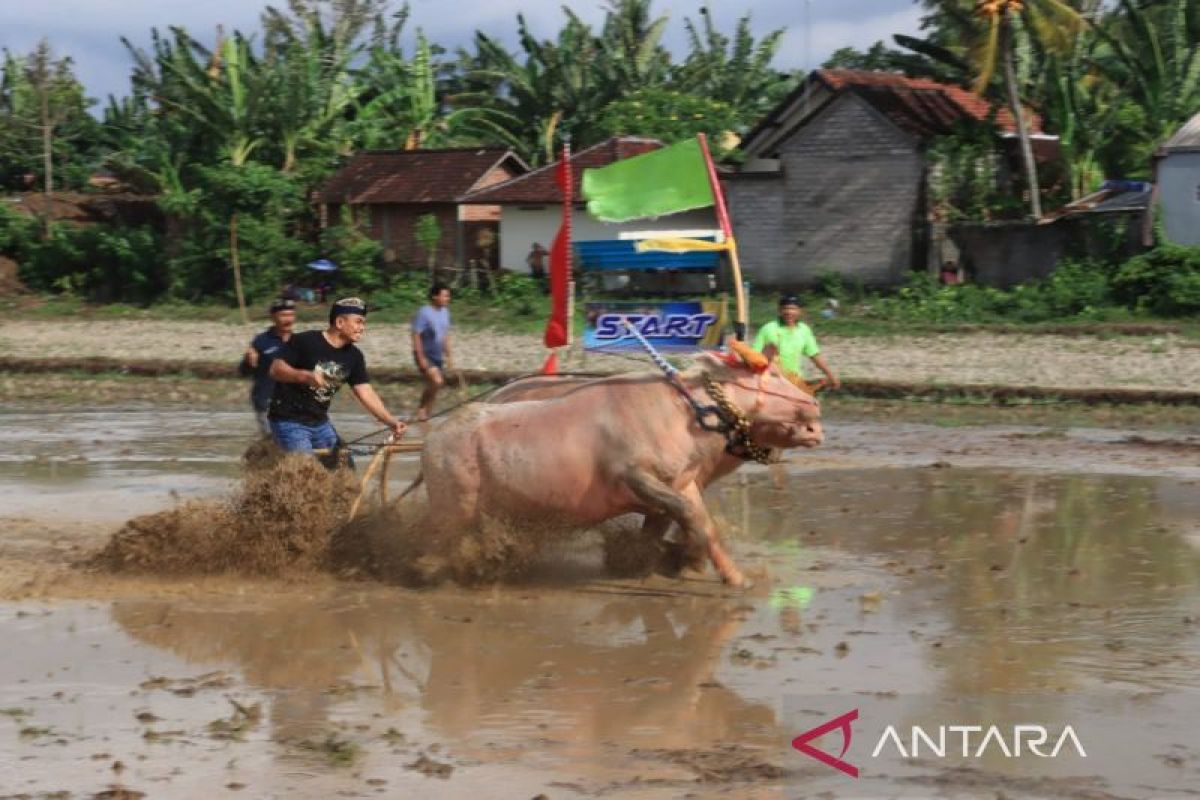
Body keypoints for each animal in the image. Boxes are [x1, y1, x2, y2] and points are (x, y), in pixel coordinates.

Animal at [422, 352, 825, 585]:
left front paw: (734, 578)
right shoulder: (634, 476)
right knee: (440, 545)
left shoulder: (681, 483)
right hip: (453, 507)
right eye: (773, 375)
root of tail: (433, 438)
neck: (685, 415)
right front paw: (685, 560)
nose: (815, 417)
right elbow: (686, 517)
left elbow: (698, 523)